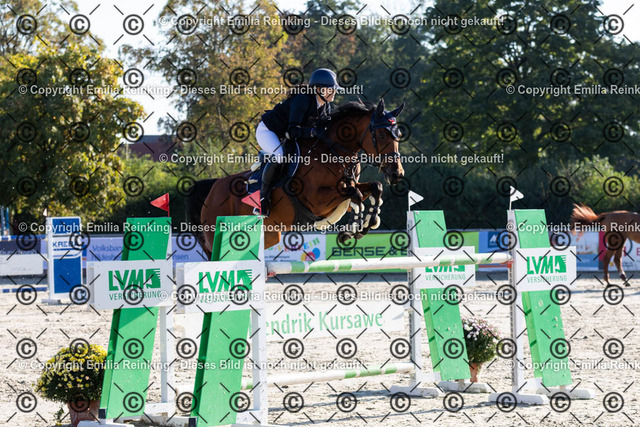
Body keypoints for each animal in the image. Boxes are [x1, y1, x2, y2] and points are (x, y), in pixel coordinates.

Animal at [187, 99, 406, 259]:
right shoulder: (317, 202)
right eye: (382, 135)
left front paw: (368, 223)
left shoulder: (348, 187)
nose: (397, 174)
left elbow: (374, 187)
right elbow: (356, 195)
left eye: (399, 134)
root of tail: (213, 188)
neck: (332, 152)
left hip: (268, 235)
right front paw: (351, 231)